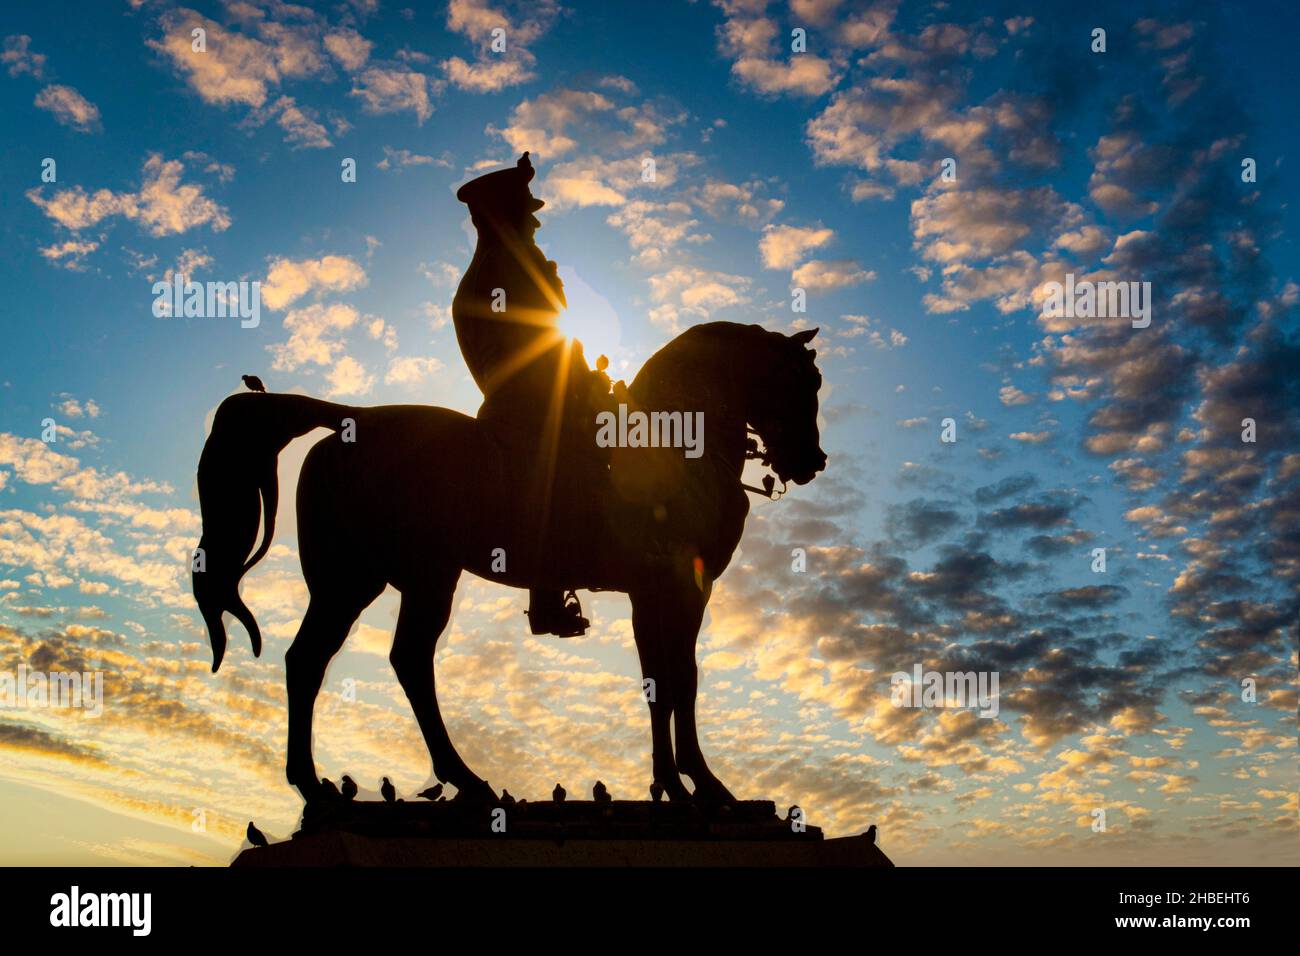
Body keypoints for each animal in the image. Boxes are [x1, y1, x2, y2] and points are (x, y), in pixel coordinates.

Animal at [192, 323, 821, 806]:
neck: (675, 445)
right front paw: (701, 787)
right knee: (402, 661)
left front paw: (675, 784)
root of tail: (351, 420)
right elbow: (676, 681)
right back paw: (459, 781)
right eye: (803, 381)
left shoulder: (660, 593)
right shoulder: (676, 588)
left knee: (312, 661)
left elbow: (664, 681)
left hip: (357, 581)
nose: (812, 461)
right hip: (412, 578)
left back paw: (317, 786)